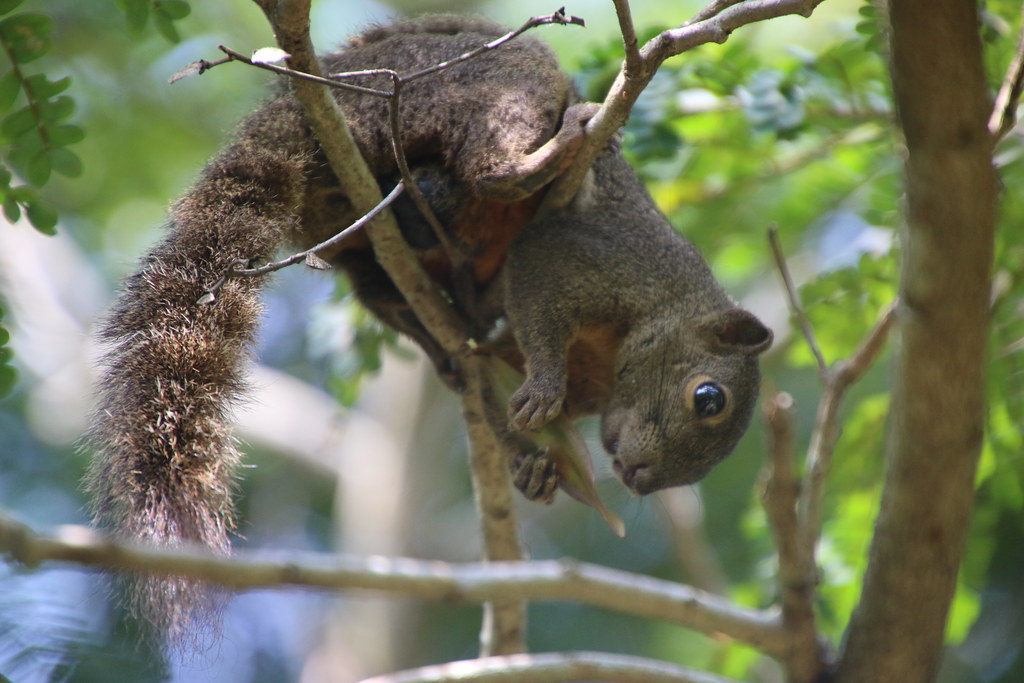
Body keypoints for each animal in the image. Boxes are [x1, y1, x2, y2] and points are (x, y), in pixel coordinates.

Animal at [85, 14, 771, 634]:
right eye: (709, 398)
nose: (640, 479)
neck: (665, 314)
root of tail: (307, 101)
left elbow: (499, 374)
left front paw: (535, 471)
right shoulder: (602, 259)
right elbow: (541, 284)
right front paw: (543, 392)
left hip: (355, 237)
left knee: (385, 286)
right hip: (470, 85)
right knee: (494, 167)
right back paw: (559, 144)